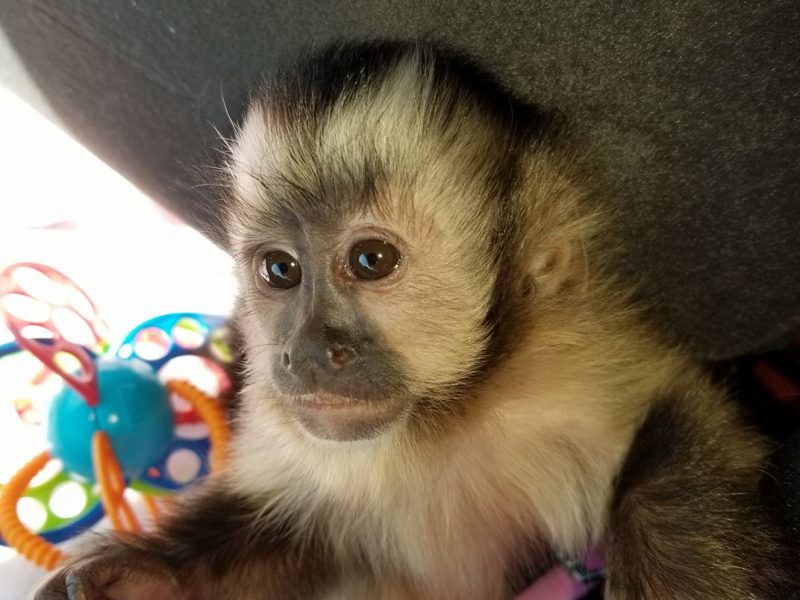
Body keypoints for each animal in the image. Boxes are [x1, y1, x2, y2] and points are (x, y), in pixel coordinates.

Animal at [34, 41, 799, 600]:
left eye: (370, 260)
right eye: (280, 270)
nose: (305, 351)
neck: (437, 429)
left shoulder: (570, 369)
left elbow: (682, 416)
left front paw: (677, 566)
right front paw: (140, 578)